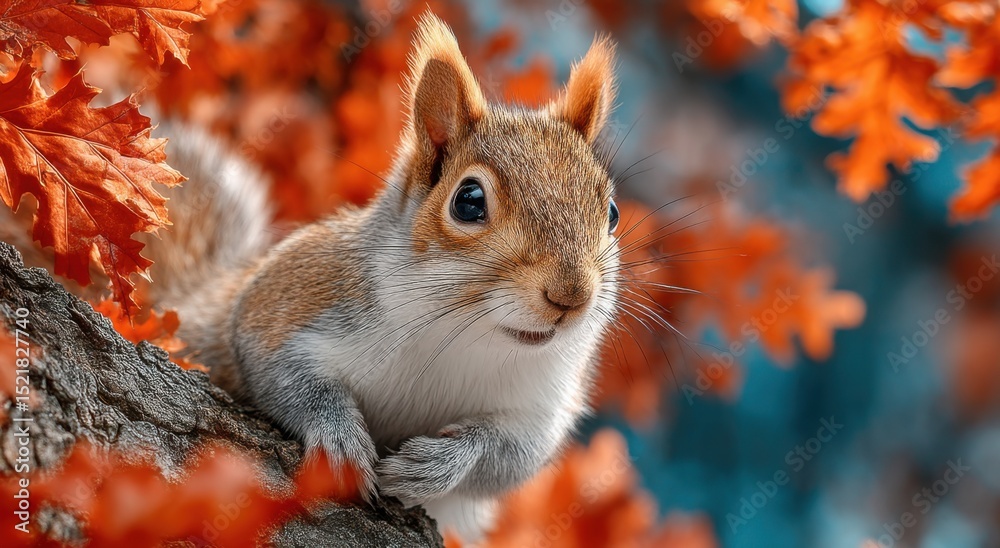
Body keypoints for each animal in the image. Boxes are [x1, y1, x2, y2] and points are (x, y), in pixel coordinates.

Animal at [139, 13, 622, 541]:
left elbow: (509, 461)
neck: (461, 333)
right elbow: (277, 368)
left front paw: (437, 465)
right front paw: (340, 438)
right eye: (469, 201)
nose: (571, 296)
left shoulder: (540, 405)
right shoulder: (295, 298)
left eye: (612, 213)